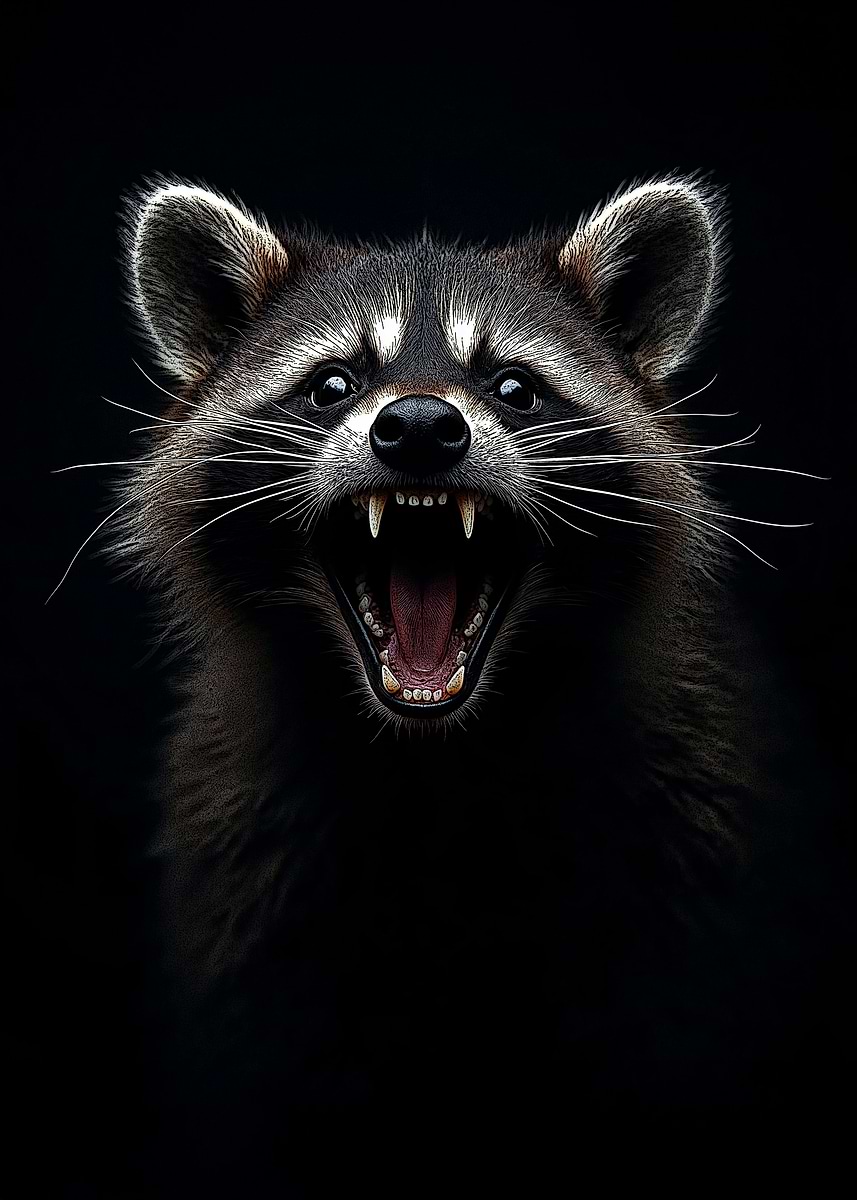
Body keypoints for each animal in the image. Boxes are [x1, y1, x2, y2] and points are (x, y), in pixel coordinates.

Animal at [77, 175, 815, 1180]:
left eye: (513, 388)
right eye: (332, 385)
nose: (421, 426)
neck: (435, 755)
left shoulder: (687, 850)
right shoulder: (249, 873)